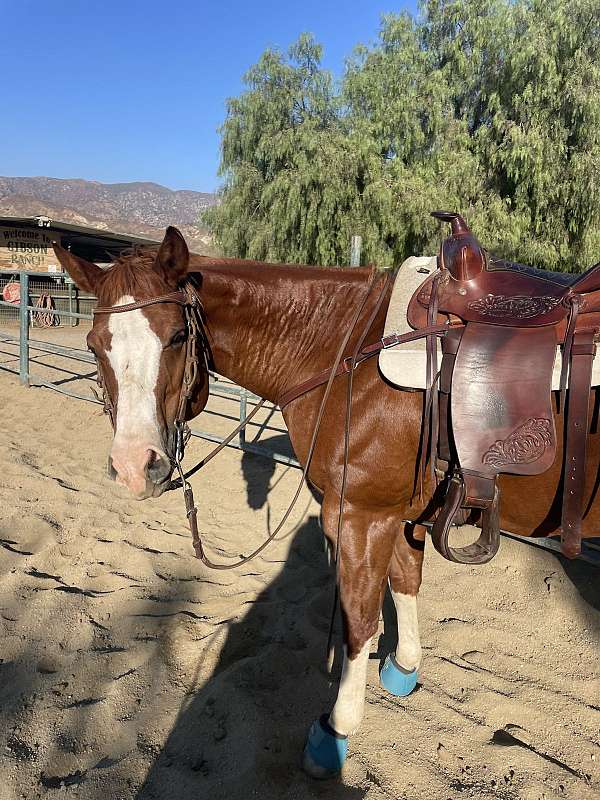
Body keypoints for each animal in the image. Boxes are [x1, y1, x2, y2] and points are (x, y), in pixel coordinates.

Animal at [52, 228, 600, 780]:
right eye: (94, 346)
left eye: (177, 337)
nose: (133, 465)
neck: (342, 349)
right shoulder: (398, 513)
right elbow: (405, 581)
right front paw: (404, 668)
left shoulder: (363, 515)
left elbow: (359, 620)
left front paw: (334, 731)